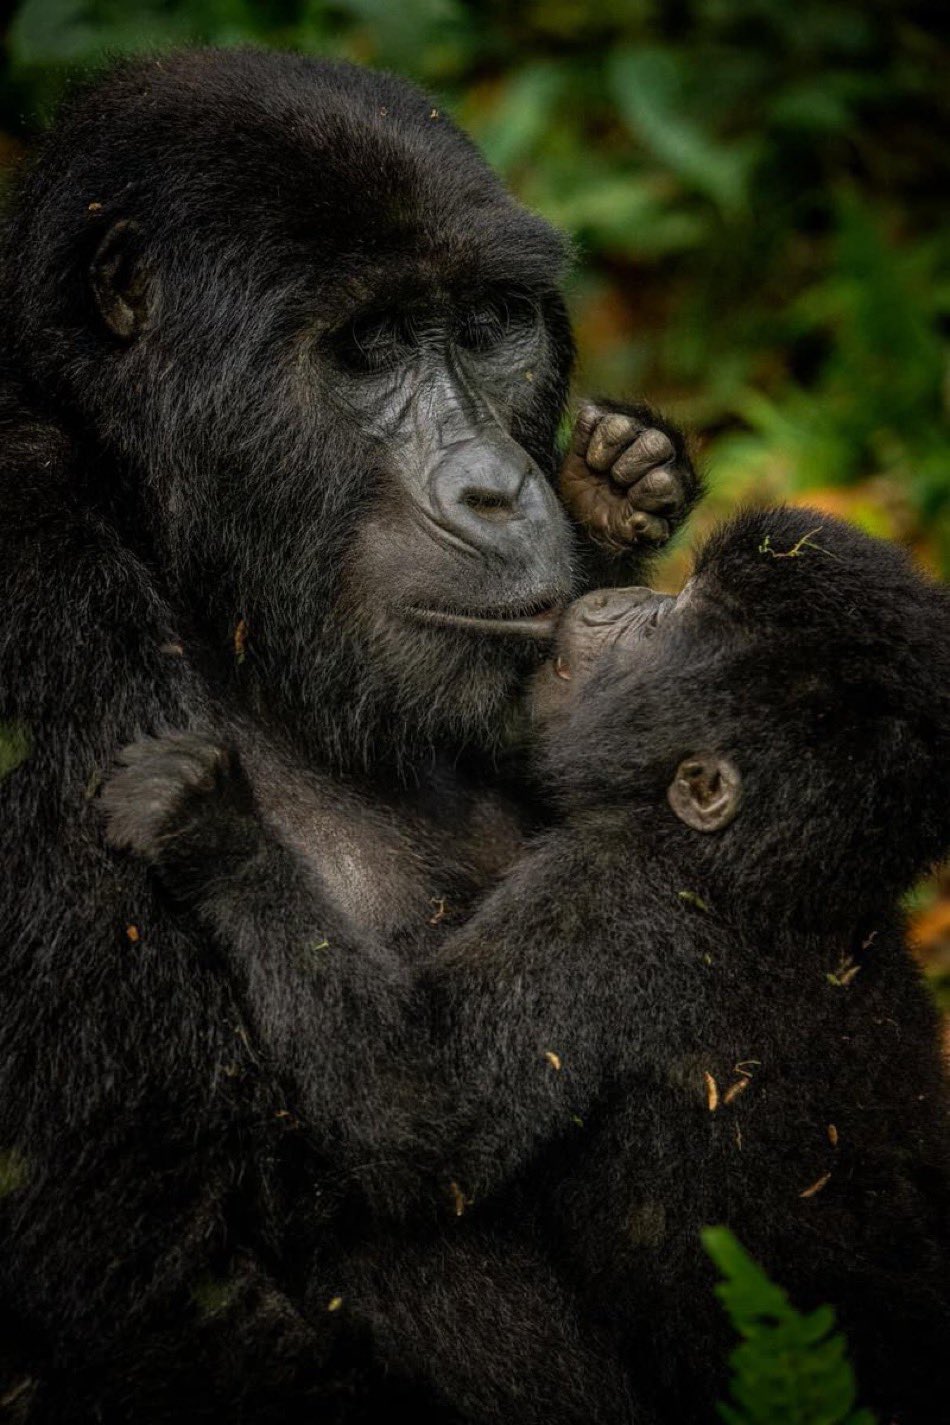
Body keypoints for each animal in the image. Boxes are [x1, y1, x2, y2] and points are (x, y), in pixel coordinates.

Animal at [0, 50, 697, 1425]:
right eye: (365, 348)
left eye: (487, 325)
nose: (497, 488)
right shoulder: (32, 577)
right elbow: (163, 1262)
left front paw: (617, 494)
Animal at [103, 507, 950, 1419]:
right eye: (671, 602)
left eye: (662, 627)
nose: (624, 597)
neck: (767, 879)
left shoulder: (618, 906)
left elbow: (418, 1108)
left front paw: (214, 830)